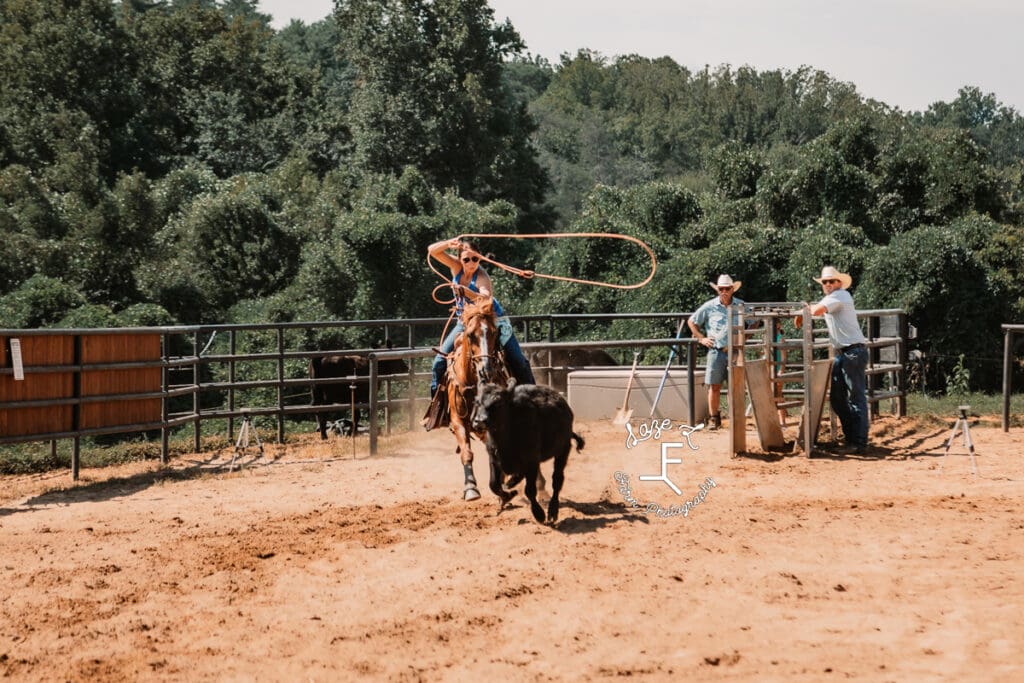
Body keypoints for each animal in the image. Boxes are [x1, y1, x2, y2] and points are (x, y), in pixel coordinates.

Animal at [444, 299, 516, 501]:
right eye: (470, 335)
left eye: (494, 333)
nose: (486, 370)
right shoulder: (458, 420)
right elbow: (466, 453)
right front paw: (471, 488)